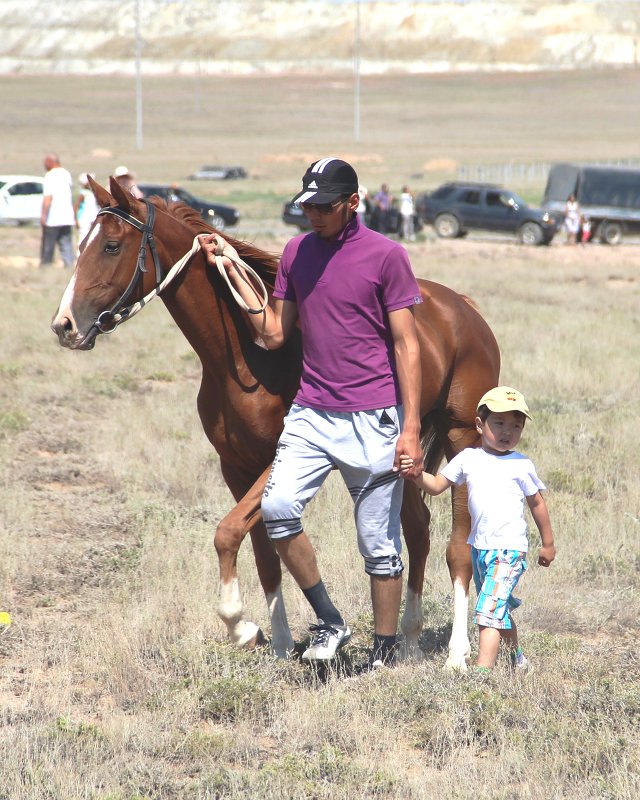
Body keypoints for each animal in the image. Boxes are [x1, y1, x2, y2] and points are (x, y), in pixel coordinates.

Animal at [51, 180, 500, 668]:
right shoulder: (236, 466)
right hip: (401, 459)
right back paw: (411, 638)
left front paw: (241, 625)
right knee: (416, 530)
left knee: (457, 549)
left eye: (112, 246)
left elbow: (227, 532)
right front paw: (280, 641)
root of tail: (464, 309)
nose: (64, 325)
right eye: (82, 244)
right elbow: (263, 555)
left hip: (460, 437)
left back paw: (456, 652)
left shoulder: (276, 459)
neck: (245, 361)